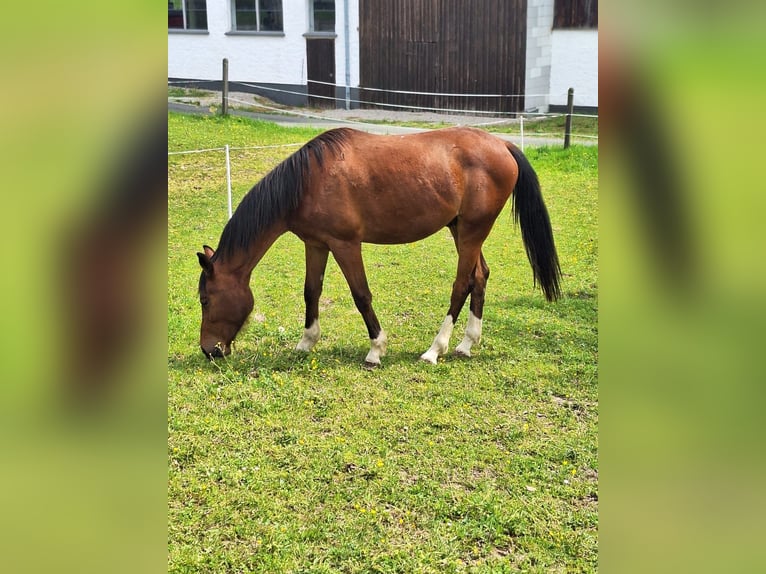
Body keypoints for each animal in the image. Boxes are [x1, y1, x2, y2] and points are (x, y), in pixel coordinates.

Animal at [195, 127, 560, 366]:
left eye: (205, 299)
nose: (209, 350)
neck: (308, 180)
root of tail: (502, 144)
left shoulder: (345, 245)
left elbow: (361, 295)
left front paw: (376, 349)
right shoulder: (316, 244)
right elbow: (311, 292)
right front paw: (305, 342)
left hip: (472, 230)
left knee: (461, 284)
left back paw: (435, 349)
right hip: (461, 229)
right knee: (480, 276)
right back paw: (467, 344)